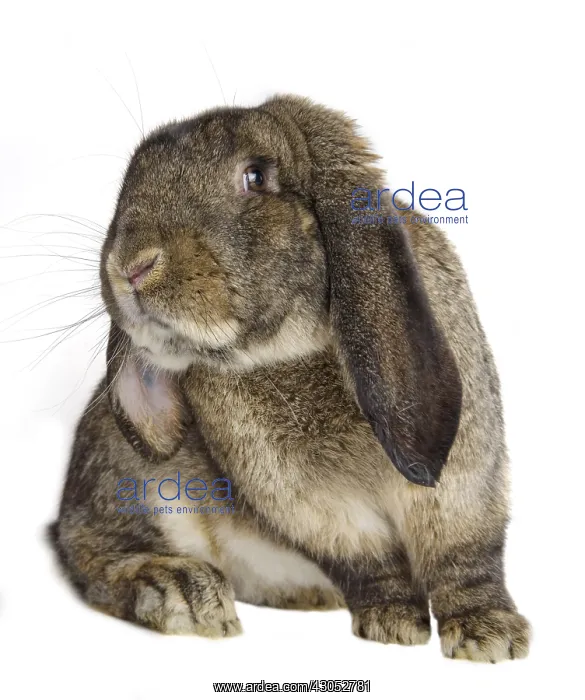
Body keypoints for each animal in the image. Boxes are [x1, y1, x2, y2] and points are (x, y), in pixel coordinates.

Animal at [50, 95, 530, 661]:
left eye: (256, 176)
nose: (130, 267)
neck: (286, 354)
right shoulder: (315, 506)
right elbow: (370, 560)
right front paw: (392, 624)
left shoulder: (461, 484)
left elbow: (464, 557)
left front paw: (490, 637)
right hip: (127, 475)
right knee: (92, 553)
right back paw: (181, 593)